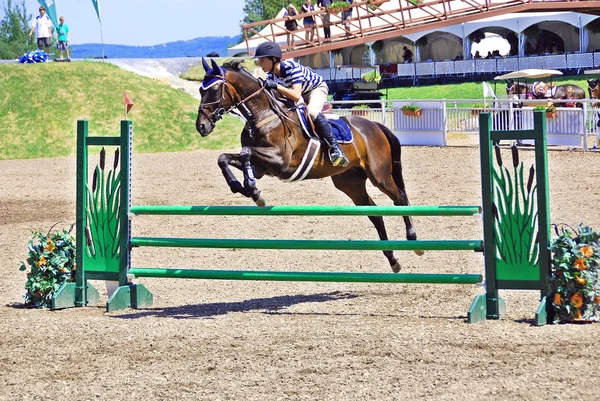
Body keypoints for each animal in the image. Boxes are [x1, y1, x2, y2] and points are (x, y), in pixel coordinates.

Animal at [197, 57, 422, 272]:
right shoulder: (262, 167)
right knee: (375, 214)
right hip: (350, 183)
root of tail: (375, 125)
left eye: (214, 90)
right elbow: (224, 158)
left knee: (399, 197)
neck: (263, 115)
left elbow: (245, 153)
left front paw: (252, 188)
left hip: (378, 175)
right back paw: (393, 260)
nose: (201, 127)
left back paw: (414, 240)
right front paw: (245, 189)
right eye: (200, 90)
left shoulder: (281, 161)